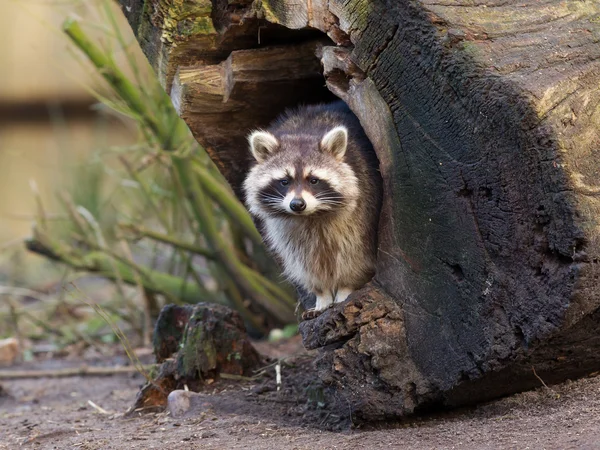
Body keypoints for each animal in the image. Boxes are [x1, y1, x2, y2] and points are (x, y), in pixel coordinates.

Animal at [241, 101, 382, 314]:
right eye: (284, 181)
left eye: (313, 180)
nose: (297, 204)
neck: (311, 216)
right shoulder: (287, 229)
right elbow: (304, 260)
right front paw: (322, 294)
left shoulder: (363, 207)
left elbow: (354, 253)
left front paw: (345, 288)